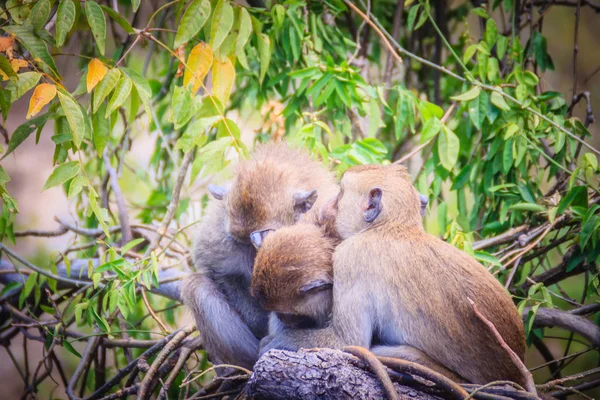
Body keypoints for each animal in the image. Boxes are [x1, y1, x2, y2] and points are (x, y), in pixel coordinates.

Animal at [180, 142, 340, 370]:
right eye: (243, 244)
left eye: (265, 237)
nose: (257, 264)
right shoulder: (217, 231)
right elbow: (218, 270)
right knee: (196, 286)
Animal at [260, 164, 528, 386]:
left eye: (341, 195)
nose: (326, 206)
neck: (391, 228)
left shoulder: (351, 257)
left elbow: (346, 340)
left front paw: (280, 341)